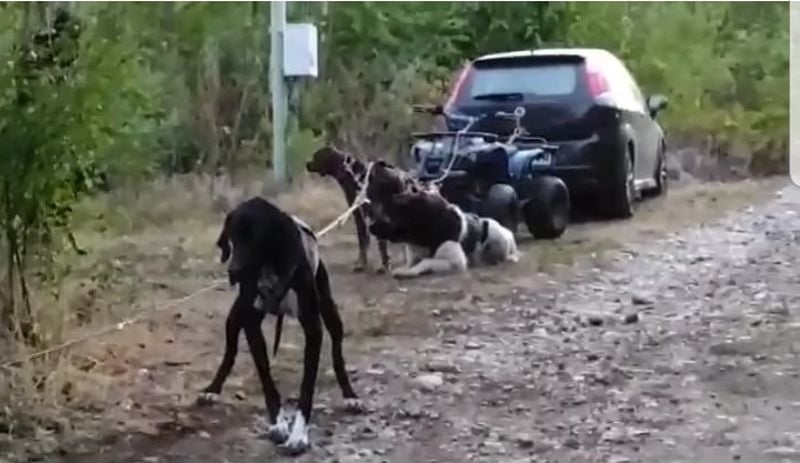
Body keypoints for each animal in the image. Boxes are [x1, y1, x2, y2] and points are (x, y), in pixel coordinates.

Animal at [198, 197, 364, 456]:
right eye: (232, 237)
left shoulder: (313, 328)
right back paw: (213, 389)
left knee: (337, 350)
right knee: (230, 351)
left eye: (256, 237)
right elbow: (266, 378)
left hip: (329, 311)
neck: (271, 266)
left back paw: (350, 395)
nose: (233, 272)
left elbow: (307, 388)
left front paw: (298, 436)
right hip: (234, 318)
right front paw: (278, 423)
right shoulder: (251, 325)